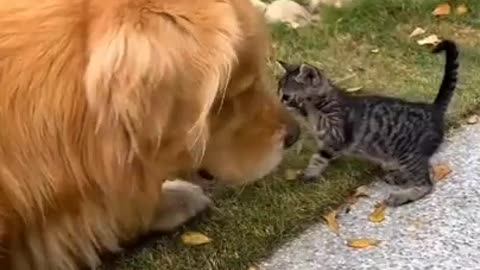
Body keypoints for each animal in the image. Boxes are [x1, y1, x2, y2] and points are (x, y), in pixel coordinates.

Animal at [280, 40, 460, 206]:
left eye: (286, 95)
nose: (280, 101)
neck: (320, 107)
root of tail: (433, 108)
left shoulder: (336, 135)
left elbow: (317, 157)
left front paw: (309, 174)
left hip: (409, 154)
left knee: (426, 182)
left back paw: (402, 195)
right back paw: (397, 177)